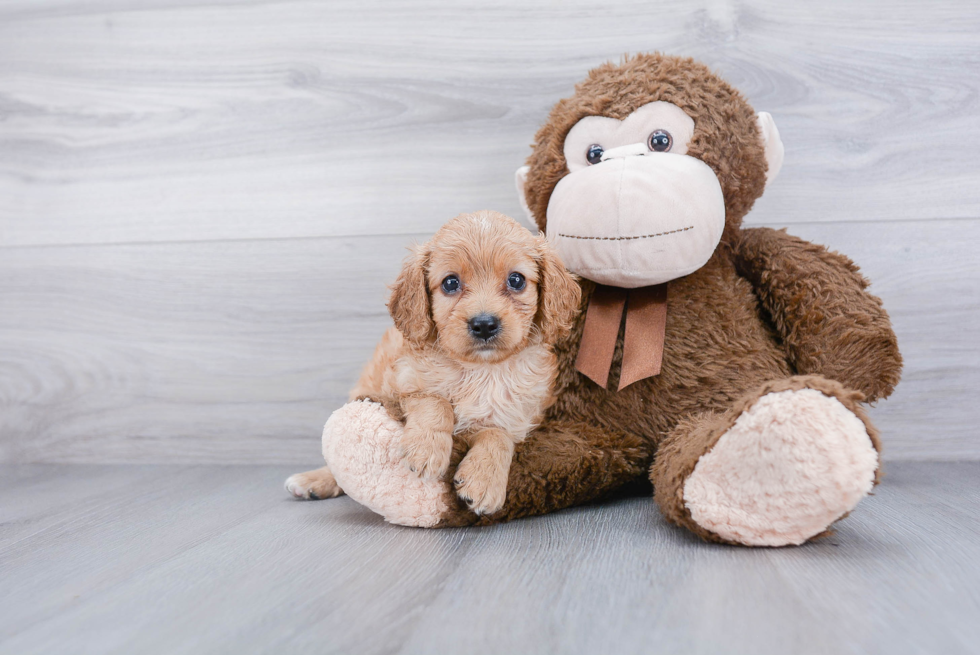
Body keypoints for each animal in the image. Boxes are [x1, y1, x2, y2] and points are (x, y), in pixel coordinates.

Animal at [288, 210, 580, 512]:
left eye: (516, 280)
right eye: (450, 283)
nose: (484, 325)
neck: (479, 371)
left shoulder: (518, 417)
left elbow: (497, 434)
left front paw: (484, 480)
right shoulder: (400, 385)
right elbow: (435, 401)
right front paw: (427, 449)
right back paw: (314, 480)